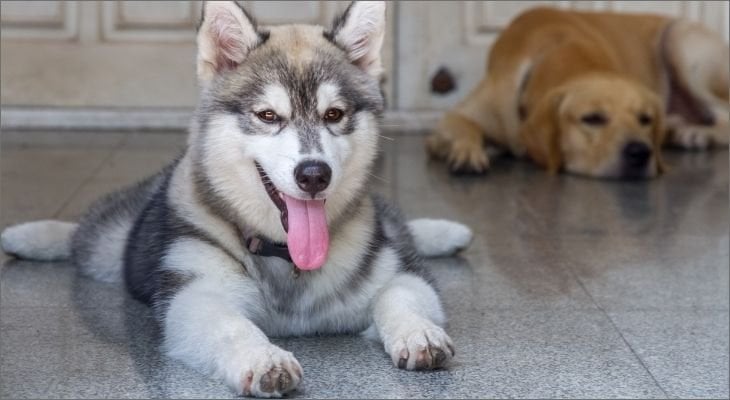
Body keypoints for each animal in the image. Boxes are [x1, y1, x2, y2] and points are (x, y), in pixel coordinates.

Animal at [1, 1, 472, 396]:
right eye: (268, 115)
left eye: (334, 115)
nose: (314, 174)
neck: (286, 257)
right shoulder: (196, 292)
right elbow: (229, 324)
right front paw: (262, 357)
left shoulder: (393, 269)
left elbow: (401, 293)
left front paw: (418, 332)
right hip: (110, 242)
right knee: (85, 234)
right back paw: (34, 235)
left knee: (399, 227)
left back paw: (444, 232)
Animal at [426, 7, 728, 179]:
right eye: (592, 118)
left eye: (645, 119)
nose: (640, 152)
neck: (559, 47)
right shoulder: (457, 117)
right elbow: (464, 128)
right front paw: (466, 151)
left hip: (682, 40)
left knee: (723, 116)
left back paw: (696, 134)